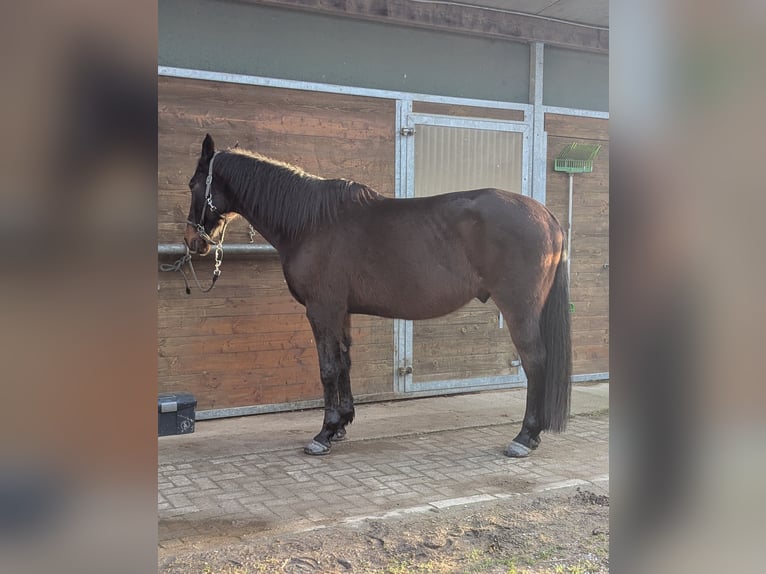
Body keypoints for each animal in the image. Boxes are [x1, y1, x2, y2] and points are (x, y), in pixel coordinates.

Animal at [183, 134, 572, 457]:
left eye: (192, 184)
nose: (193, 242)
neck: (311, 222)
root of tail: (546, 216)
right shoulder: (341, 311)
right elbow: (344, 363)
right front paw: (341, 424)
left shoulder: (321, 310)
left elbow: (327, 368)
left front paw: (323, 434)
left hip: (519, 309)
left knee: (535, 361)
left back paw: (524, 437)